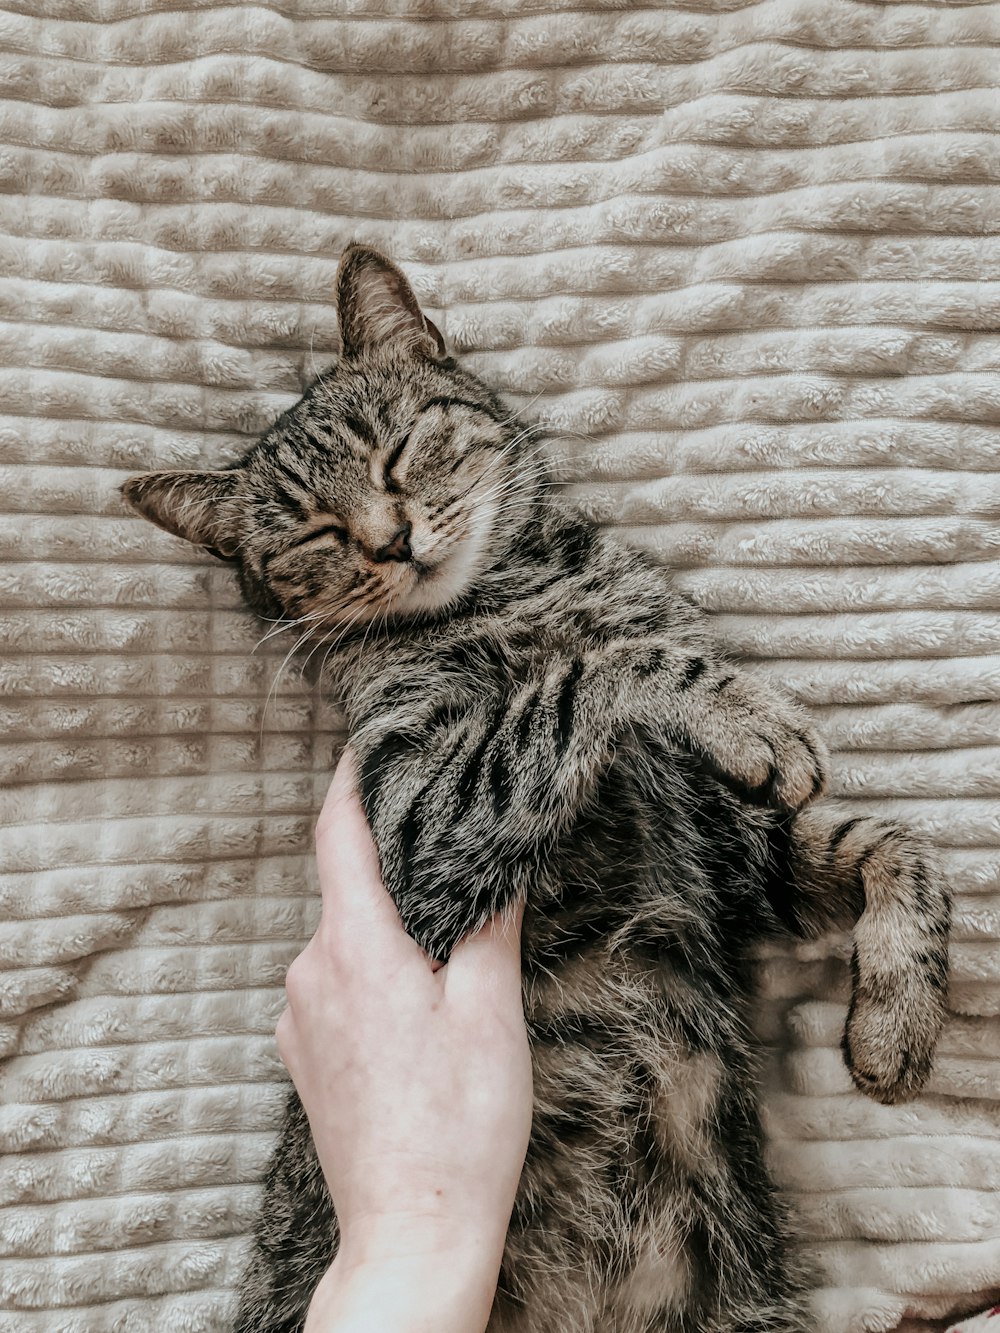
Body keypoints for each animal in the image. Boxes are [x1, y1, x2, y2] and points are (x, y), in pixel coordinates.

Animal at [121, 245, 949, 1327]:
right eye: (313, 534)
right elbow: (588, 675)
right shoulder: (415, 821)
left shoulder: (725, 848)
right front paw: (732, 703)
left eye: (399, 452)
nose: (389, 540)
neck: (521, 595)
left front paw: (896, 1022)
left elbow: (892, 843)